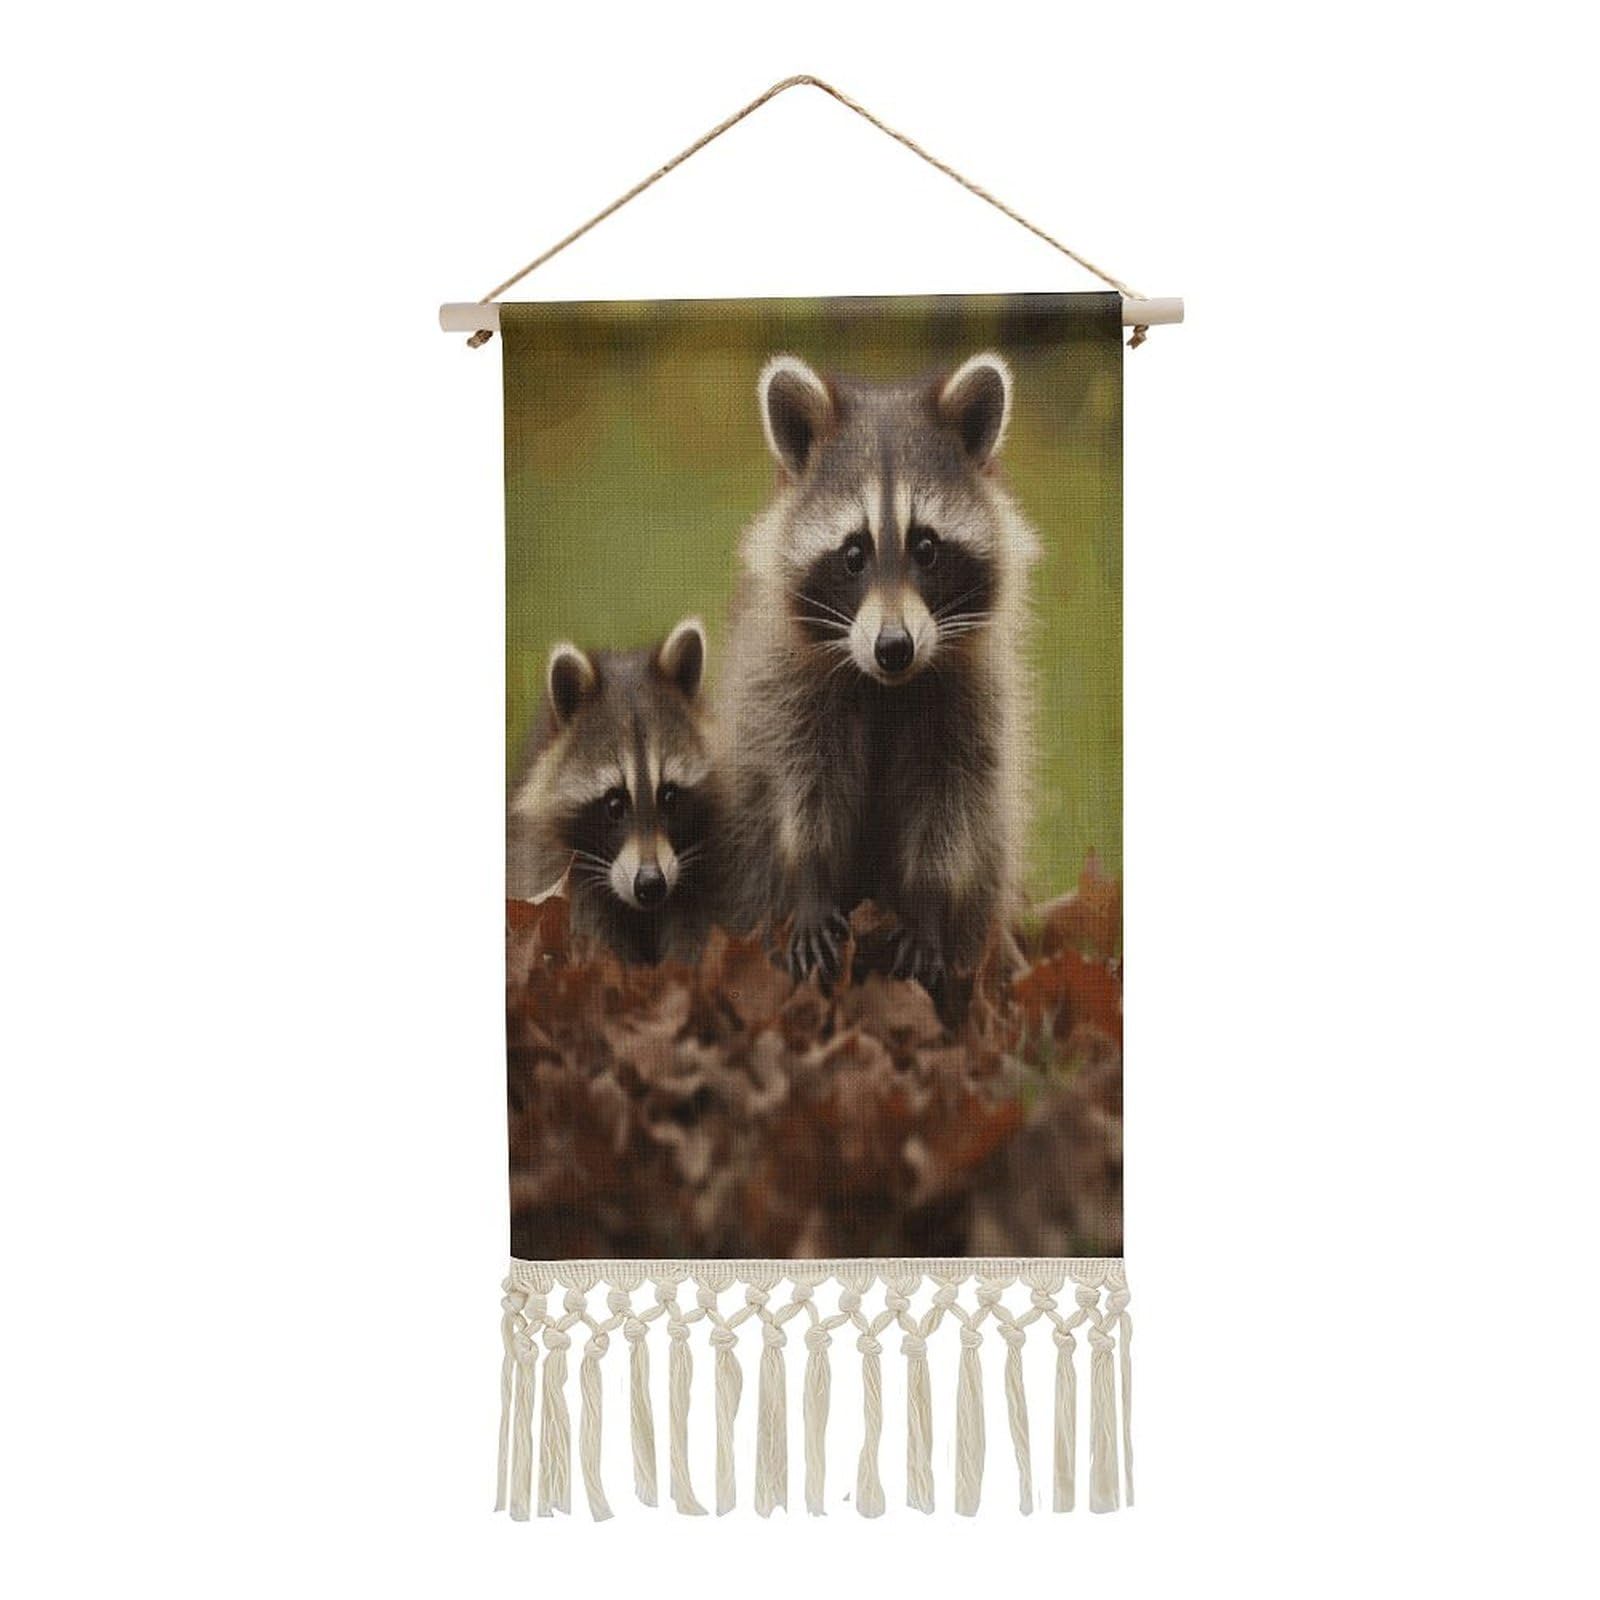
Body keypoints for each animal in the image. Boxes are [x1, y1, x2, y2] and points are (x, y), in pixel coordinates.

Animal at [720, 351, 1038, 996]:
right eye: (852, 554)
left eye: (927, 548)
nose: (894, 647)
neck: (887, 686)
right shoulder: (785, 685)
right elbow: (803, 788)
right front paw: (810, 879)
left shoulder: (972, 696)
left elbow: (952, 802)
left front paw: (927, 905)